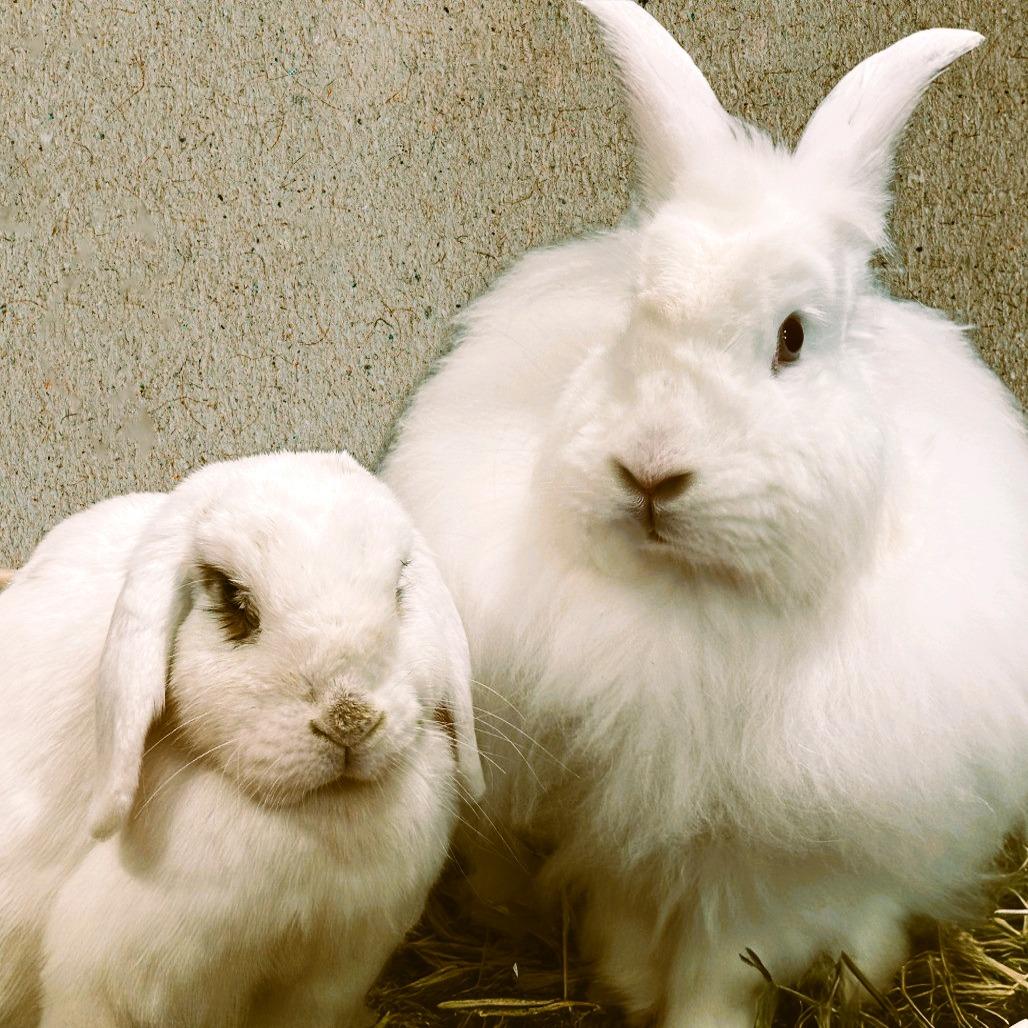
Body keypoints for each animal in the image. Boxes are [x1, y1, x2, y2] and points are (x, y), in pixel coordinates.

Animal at [382, 2, 1028, 1025]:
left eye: (792, 338)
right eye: (632, 319)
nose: (650, 472)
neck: (687, 604)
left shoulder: (763, 864)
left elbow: (721, 965)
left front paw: (689, 1012)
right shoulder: (612, 822)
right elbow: (627, 923)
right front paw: (622, 984)